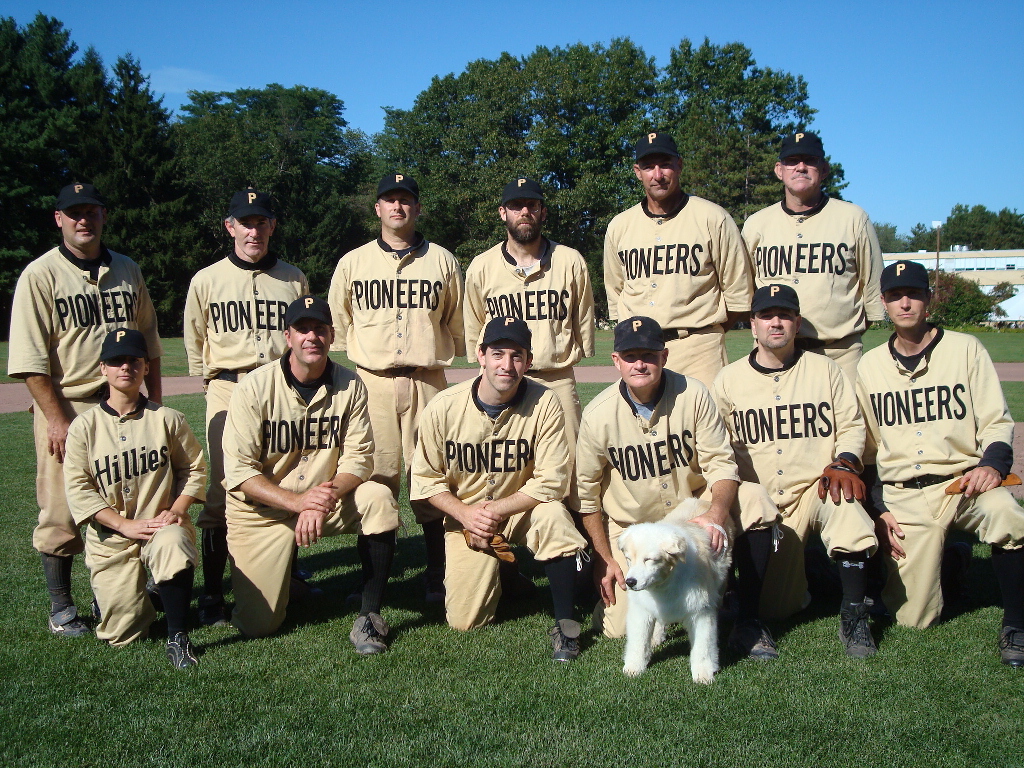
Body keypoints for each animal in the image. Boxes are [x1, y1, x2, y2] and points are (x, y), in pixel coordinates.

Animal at [618, 499, 733, 684]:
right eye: (629, 559)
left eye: (649, 560)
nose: (630, 582)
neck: (664, 582)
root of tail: (703, 501)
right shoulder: (641, 610)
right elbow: (639, 641)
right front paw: (634, 667)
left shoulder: (701, 612)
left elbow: (703, 647)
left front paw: (703, 673)